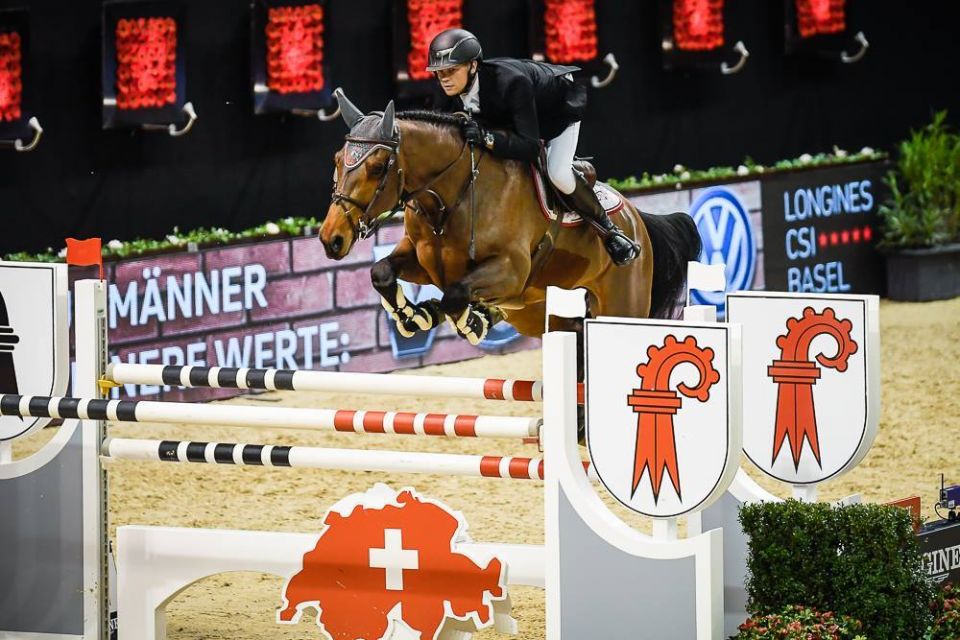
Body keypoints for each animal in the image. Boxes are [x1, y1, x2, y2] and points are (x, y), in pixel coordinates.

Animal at [318, 90, 700, 344]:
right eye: (336, 160)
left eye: (377, 167)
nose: (331, 239)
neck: (452, 197)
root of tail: (637, 219)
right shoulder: (422, 259)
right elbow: (382, 272)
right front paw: (416, 315)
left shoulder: (511, 271)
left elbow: (456, 293)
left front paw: (470, 323)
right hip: (539, 313)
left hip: (618, 303)